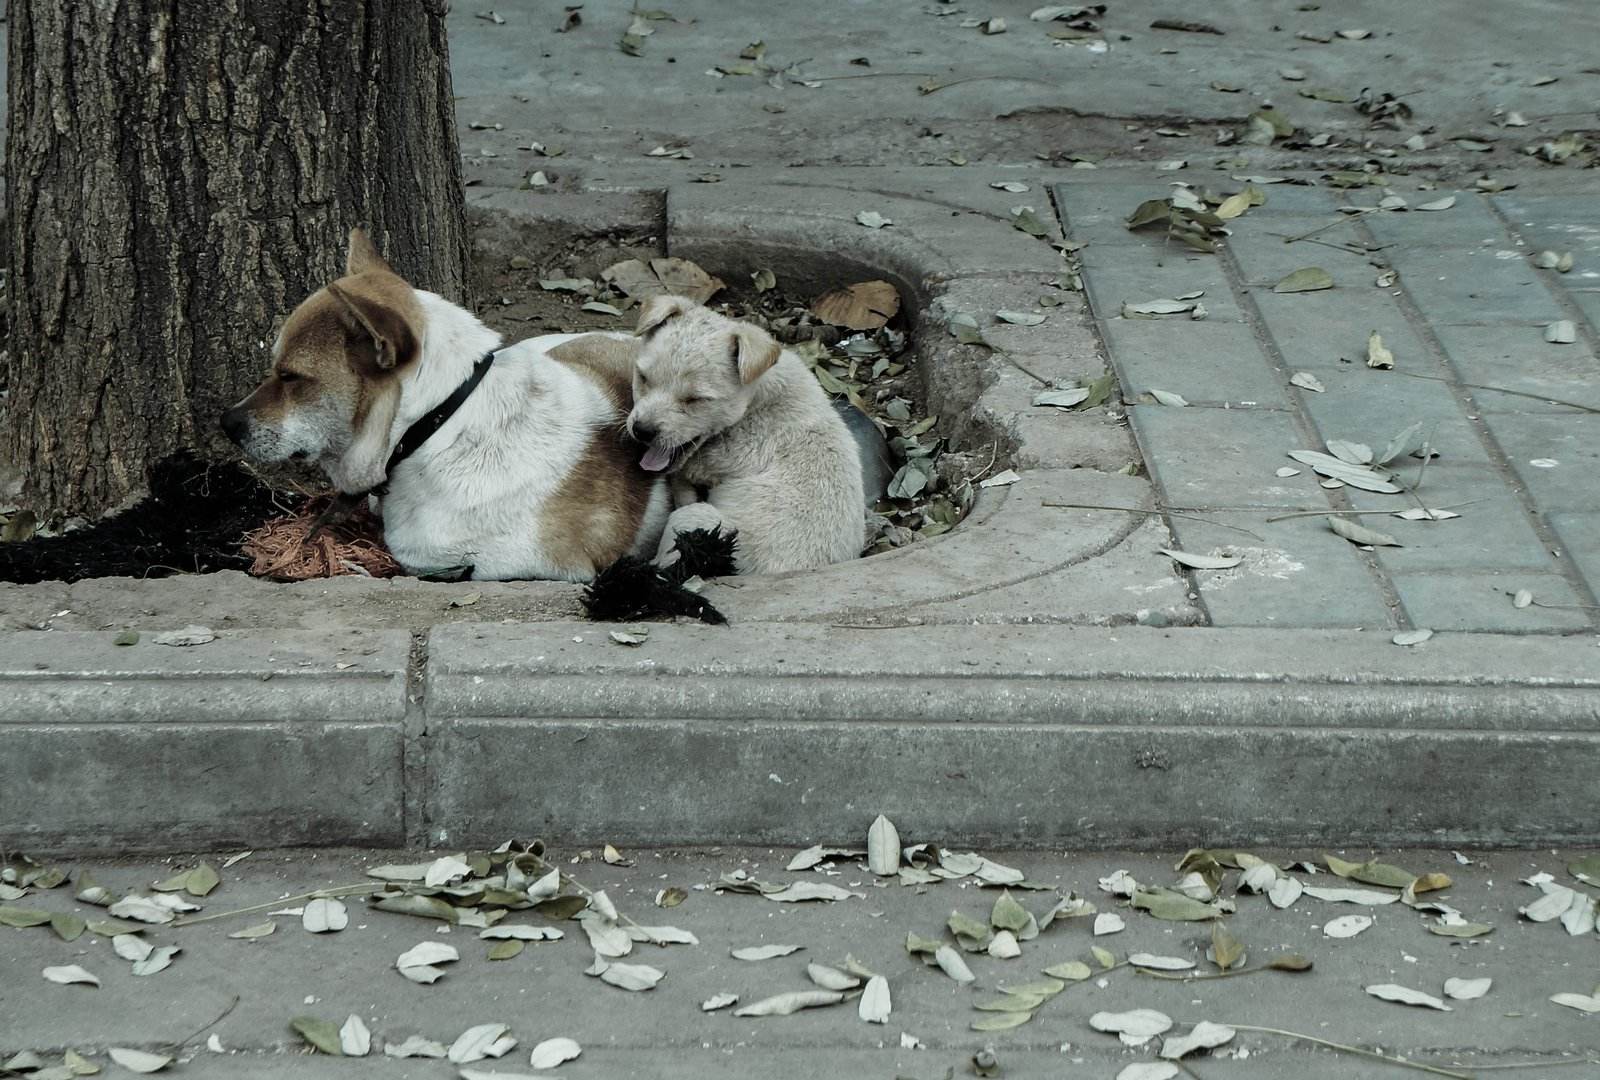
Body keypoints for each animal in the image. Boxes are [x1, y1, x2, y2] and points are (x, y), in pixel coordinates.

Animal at [630, 296, 870, 576]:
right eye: (643, 378)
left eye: (695, 400)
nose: (641, 430)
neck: (757, 395)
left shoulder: (725, 456)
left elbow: (686, 469)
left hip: (694, 522)